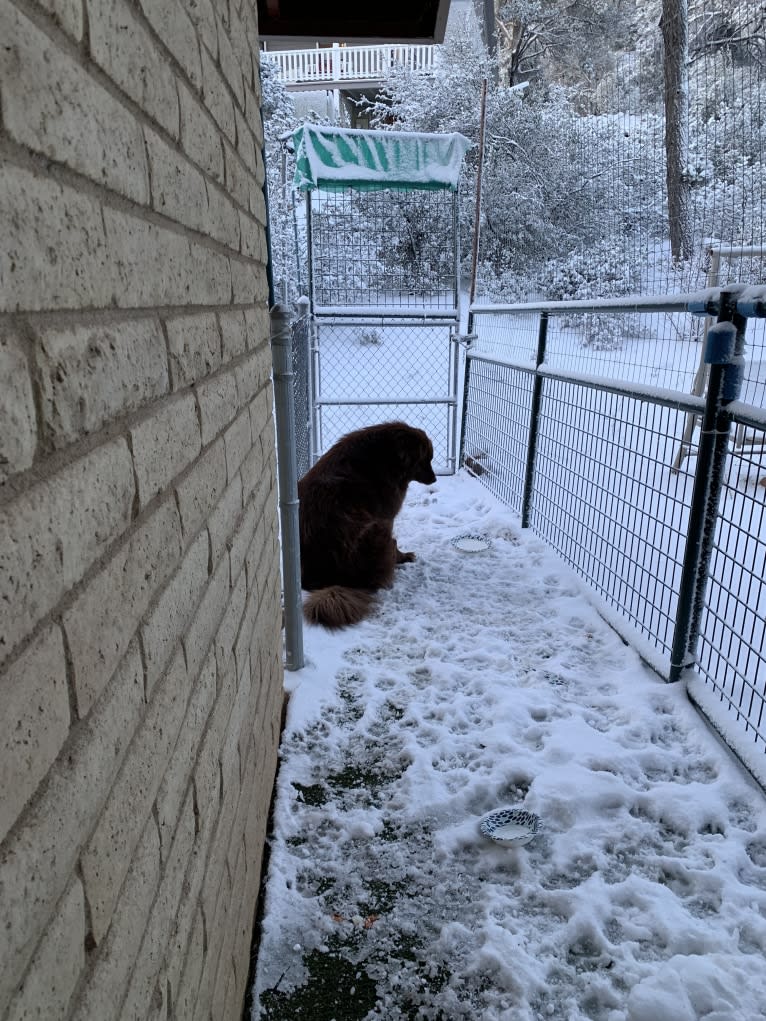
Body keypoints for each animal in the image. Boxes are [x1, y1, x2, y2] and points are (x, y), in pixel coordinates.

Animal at [300, 418, 437, 624]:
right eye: (425, 459)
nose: (435, 479)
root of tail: (335, 579)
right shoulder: (387, 516)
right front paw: (404, 556)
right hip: (377, 531)